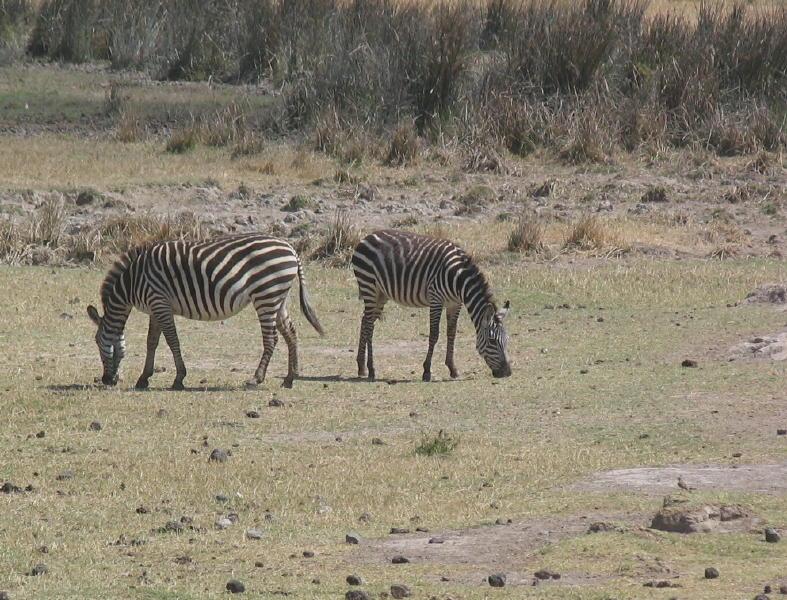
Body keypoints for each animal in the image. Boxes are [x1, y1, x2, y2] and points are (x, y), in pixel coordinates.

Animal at [84, 232, 322, 392]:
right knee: (291, 333)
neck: (131, 281)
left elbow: (172, 341)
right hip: (278, 297)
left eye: (97, 342)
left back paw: (256, 379)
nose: (106, 380)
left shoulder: (159, 302)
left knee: (271, 338)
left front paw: (179, 378)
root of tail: (291, 249)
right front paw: (144, 378)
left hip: (266, 294)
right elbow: (152, 341)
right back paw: (290, 378)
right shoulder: (155, 307)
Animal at [350, 230, 510, 380]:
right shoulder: (436, 299)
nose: (507, 372)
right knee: (369, 325)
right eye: (492, 341)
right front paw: (426, 371)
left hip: (381, 294)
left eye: (507, 340)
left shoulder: (455, 303)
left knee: (365, 321)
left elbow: (451, 333)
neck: (458, 279)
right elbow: (434, 334)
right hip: (369, 286)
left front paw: (452, 368)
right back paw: (371, 369)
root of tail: (367, 236)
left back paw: (361, 367)